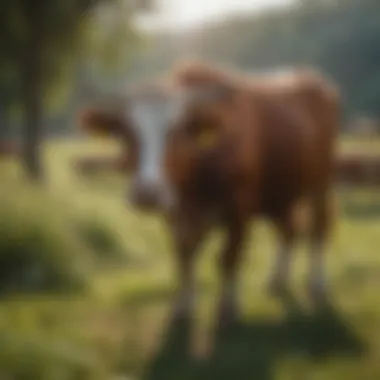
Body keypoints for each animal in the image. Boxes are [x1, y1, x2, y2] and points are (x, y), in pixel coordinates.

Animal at [78, 62, 340, 326]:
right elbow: (184, 254)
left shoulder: (239, 210)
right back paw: (277, 280)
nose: (147, 193)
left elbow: (228, 258)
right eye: (126, 133)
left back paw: (317, 284)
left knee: (318, 228)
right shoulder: (175, 214)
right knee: (290, 230)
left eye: (178, 131)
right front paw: (183, 306)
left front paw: (227, 308)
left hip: (320, 183)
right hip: (278, 194)